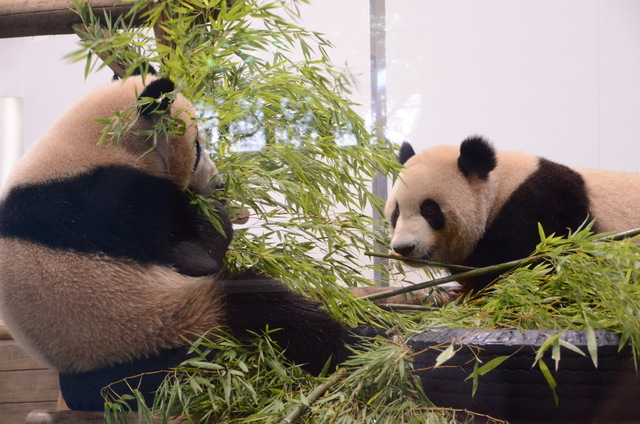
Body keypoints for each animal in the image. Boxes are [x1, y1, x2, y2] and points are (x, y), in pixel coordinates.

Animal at [0, 74, 350, 410]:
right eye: (197, 148)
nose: (220, 182)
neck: (95, 142)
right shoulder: (105, 200)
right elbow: (196, 256)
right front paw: (216, 214)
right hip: (167, 325)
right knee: (265, 308)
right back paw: (350, 342)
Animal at [388, 137, 640, 294]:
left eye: (429, 209)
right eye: (396, 212)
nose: (404, 248)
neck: (497, 192)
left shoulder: (539, 213)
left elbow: (542, 269)